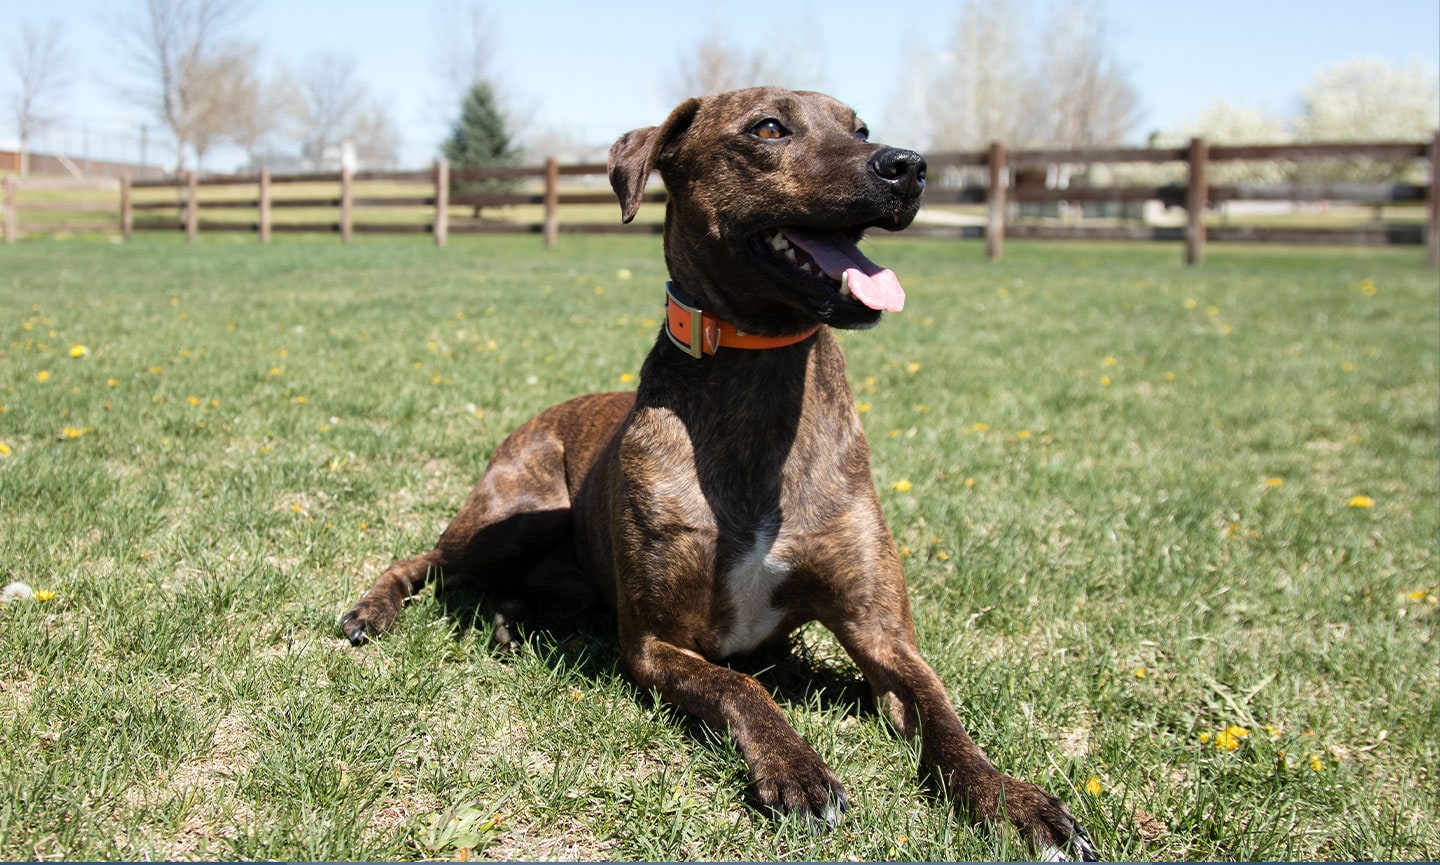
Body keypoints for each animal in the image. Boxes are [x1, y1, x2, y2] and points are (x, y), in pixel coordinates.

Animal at [342, 85, 1094, 857]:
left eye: (860, 128)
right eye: (768, 127)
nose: (909, 165)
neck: (761, 375)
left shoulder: (882, 633)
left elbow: (943, 712)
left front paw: (1010, 797)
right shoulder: (655, 643)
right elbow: (743, 688)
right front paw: (797, 768)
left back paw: (515, 624)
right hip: (509, 516)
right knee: (428, 558)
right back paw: (374, 611)